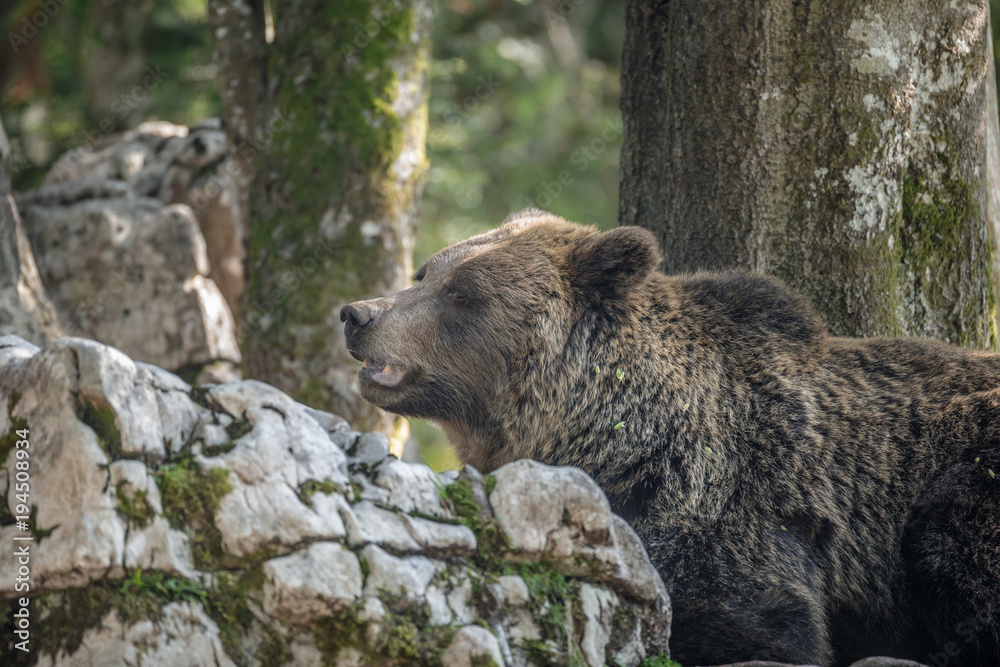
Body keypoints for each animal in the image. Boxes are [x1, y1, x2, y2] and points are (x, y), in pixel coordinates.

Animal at [340, 208, 1000, 667]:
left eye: (462, 292)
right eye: (427, 271)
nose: (357, 314)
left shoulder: (728, 499)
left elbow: (753, 620)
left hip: (962, 472)